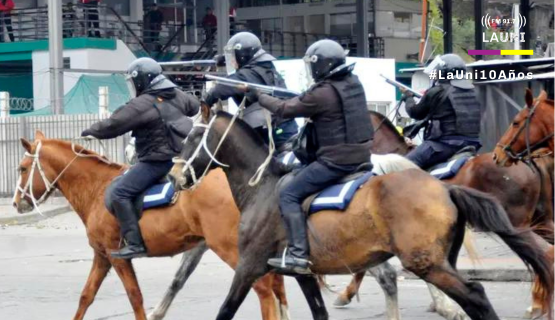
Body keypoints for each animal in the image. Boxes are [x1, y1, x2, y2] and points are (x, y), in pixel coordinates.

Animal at [11, 131, 292, 320]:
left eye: (23, 168)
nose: (15, 203)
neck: (98, 187)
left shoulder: (117, 256)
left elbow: (135, 297)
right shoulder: (102, 256)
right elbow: (86, 296)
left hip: (231, 249)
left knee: (265, 290)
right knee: (277, 288)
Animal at [172, 104, 552, 320]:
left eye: (191, 138)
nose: (175, 177)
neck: (262, 188)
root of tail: (444, 187)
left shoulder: (248, 267)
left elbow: (225, 311)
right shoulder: (303, 274)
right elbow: (319, 312)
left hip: (427, 263)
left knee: (476, 296)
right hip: (441, 261)